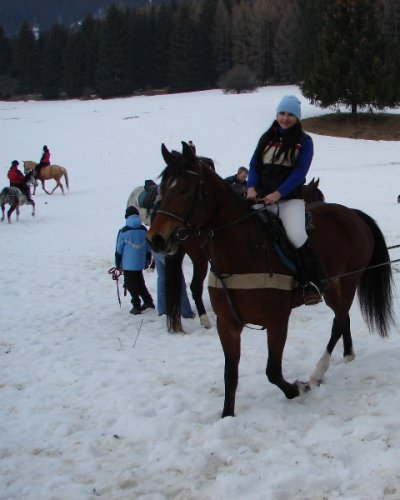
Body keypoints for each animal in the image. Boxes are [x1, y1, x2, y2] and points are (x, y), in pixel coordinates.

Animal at [148, 144, 394, 418]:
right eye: (162, 189)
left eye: (184, 188)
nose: (156, 238)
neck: (243, 252)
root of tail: (353, 214)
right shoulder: (228, 324)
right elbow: (230, 374)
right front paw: (227, 415)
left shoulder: (277, 320)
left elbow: (273, 371)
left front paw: (297, 389)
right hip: (332, 286)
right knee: (343, 318)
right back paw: (347, 354)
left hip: (348, 281)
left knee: (339, 321)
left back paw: (319, 370)